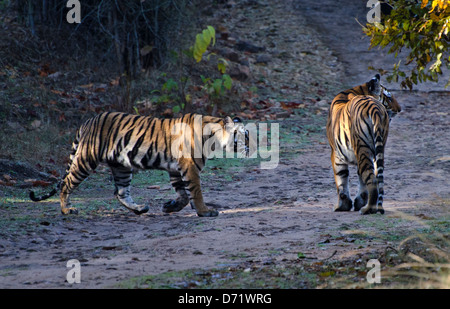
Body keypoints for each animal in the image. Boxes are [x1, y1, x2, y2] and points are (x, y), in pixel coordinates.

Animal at [30, 111, 250, 217]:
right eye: (245, 136)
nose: (251, 148)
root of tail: (88, 121)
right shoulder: (189, 168)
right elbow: (195, 192)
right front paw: (205, 211)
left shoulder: (176, 169)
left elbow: (183, 194)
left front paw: (170, 207)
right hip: (86, 159)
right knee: (66, 183)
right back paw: (66, 210)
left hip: (121, 166)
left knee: (120, 192)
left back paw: (140, 209)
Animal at [326, 74, 402, 214]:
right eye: (389, 97)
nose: (400, 109)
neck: (359, 89)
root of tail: (375, 109)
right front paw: (358, 203)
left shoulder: (336, 154)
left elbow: (341, 180)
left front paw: (342, 206)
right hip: (377, 149)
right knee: (376, 178)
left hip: (362, 148)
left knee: (371, 181)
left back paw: (367, 209)